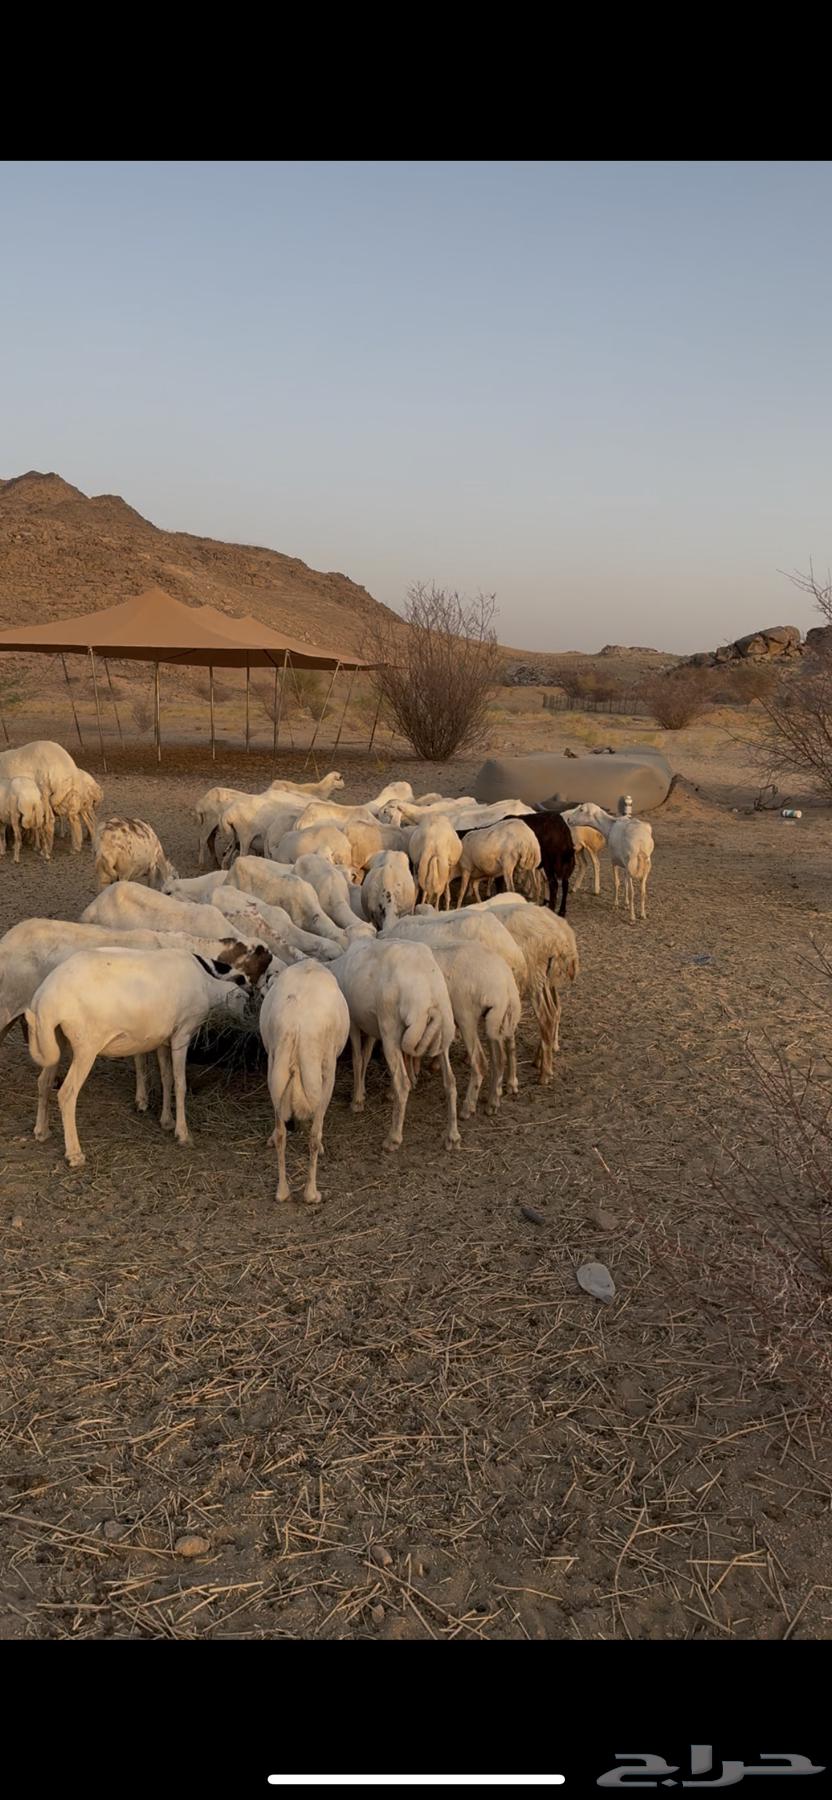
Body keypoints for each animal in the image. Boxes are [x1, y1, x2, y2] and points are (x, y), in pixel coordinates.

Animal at [26, 944, 270, 1168]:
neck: (206, 981)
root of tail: (45, 998)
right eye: (242, 996)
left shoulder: (163, 1039)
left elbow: (166, 1079)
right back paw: (75, 1154)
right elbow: (180, 1083)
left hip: (54, 1038)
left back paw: (41, 1131)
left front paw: (167, 1121)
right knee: (67, 1093)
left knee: (43, 1081)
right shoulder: (182, 1033)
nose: (249, 1018)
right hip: (86, 1045)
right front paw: (183, 1134)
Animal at [260, 961, 350, 1205]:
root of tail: (296, 1027)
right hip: (322, 1072)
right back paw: (312, 1193)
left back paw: (282, 1192)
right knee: (314, 1134)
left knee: (281, 1133)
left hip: (276, 1069)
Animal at [332, 938, 460, 1153]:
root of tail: (428, 995)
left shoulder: (356, 1024)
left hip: (390, 1029)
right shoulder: (373, 1026)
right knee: (450, 1082)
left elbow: (358, 1059)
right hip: (441, 1030)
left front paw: (357, 1100)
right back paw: (452, 1136)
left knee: (402, 1083)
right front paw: (363, 1092)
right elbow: (366, 1056)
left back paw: (393, 1138)